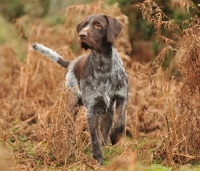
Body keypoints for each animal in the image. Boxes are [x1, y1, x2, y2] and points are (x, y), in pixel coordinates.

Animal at [31, 14, 128, 164]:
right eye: (84, 25)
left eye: (98, 25)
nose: (82, 35)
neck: (103, 67)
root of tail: (71, 63)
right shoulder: (92, 111)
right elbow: (95, 139)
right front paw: (98, 160)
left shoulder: (122, 96)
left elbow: (121, 122)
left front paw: (115, 137)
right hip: (71, 106)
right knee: (69, 129)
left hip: (107, 112)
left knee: (105, 130)